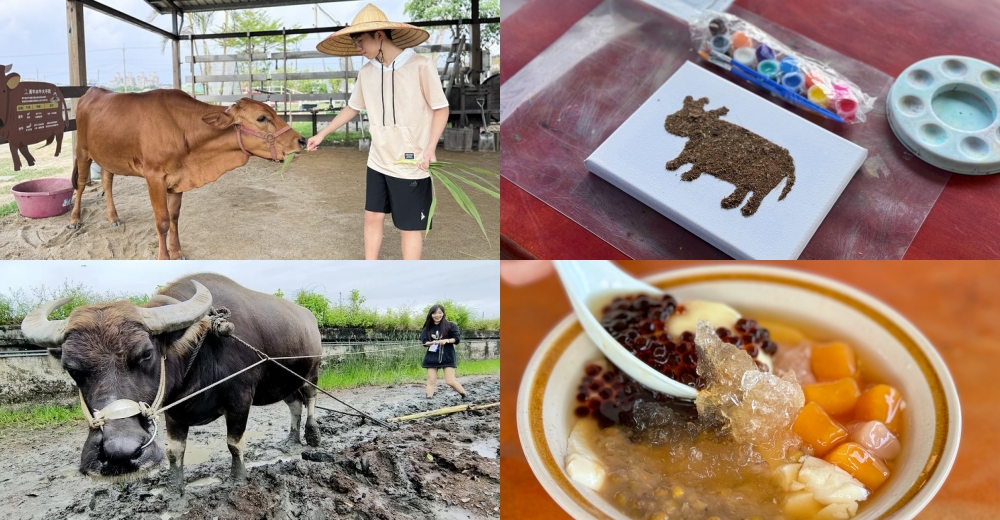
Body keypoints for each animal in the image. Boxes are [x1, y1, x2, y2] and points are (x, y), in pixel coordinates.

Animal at [20, 274, 320, 490]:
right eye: (71, 368)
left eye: (146, 353)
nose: (119, 454)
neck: (201, 348)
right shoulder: (173, 410)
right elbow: (175, 451)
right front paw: (176, 491)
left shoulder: (240, 400)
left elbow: (234, 443)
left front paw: (238, 478)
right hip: (285, 381)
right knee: (294, 405)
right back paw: (290, 441)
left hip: (311, 371)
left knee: (310, 399)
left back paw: (312, 436)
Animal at [69, 90, 308, 260]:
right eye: (262, 118)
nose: (302, 140)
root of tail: (91, 91)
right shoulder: (154, 176)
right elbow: (162, 221)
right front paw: (164, 257)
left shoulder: (178, 179)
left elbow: (174, 217)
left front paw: (177, 252)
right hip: (82, 151)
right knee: (79, 184)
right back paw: (75, 219)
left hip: (107, 156)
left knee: (107, 182)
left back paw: (113, 217)